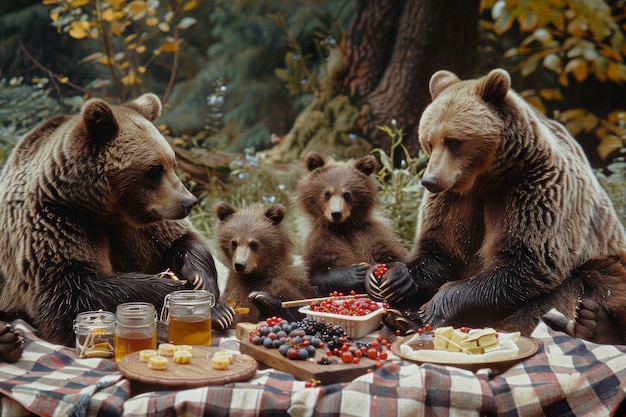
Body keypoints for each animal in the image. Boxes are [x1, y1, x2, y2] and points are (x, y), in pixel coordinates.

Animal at [0, 93, 234, 354]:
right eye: (154, 169)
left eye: (172, 163)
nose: (188, 202)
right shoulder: (56, 222)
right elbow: (70, 290)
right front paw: (174, 289)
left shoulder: (143, 224)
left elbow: (183, 240)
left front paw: (211, 296)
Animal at [296, 152, 408, 296]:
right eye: (327, 193)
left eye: (347, 194)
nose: (336, 213)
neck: (344, 227)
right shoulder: (318, 242)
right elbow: (316, 275)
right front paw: (356, 273)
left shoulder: (374, 233)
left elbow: (393, 256)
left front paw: (399, 277)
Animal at [366, 66, 624, 342]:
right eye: (429, 140)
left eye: (453, 141)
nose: (430, 180)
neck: (487, 178)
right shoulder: (452, 200)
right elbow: (441, 252)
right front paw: (394, 276)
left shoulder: (533, 189)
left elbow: (523, 261)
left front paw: (432, 309)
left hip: (606, 257)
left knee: (584, 283)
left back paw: (593, 323)